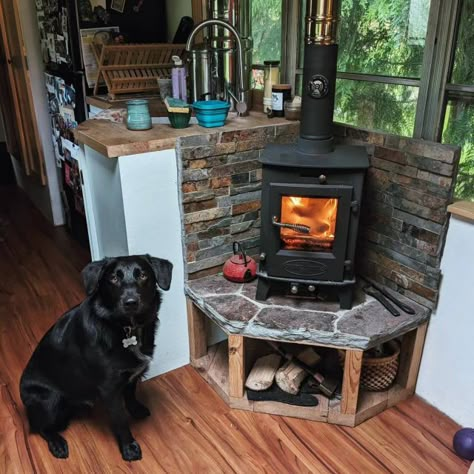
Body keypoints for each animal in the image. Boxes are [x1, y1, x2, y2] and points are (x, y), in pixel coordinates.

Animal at [20, 254, 173, 462]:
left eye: (142, 275)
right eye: (113, 278)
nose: (131, 302)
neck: (126, 328)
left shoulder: (131, 375)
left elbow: (131, 393)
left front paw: (136, 409)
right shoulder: (109, 389)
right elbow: (120, 420)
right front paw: (129, 448)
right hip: (49, 399)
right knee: (40, 428)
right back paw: (57, 443)